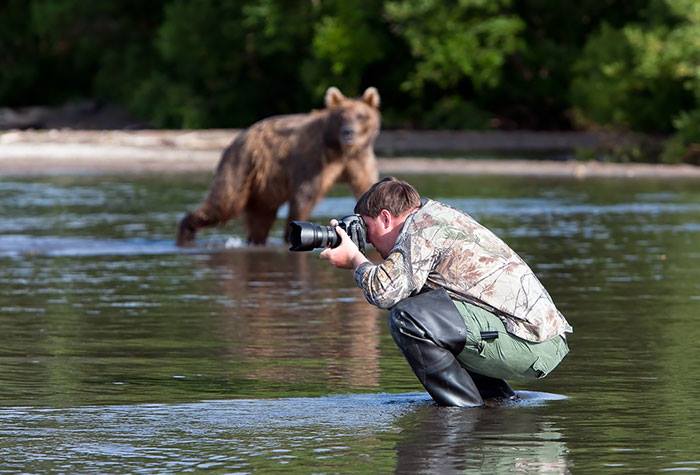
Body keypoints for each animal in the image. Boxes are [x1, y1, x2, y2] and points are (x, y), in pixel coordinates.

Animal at [178, 87, 380, 247]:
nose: (348, 133)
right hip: (241, 165)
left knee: (260, 218)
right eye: (341, 116)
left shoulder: (359, 160)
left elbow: (366, 186)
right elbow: (304, 196)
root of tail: (238, 138)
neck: (340, 149)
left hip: (263, 186)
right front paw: (290, 234)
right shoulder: (314, 160)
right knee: (224, 203)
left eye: (361, 116)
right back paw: (185, 233)